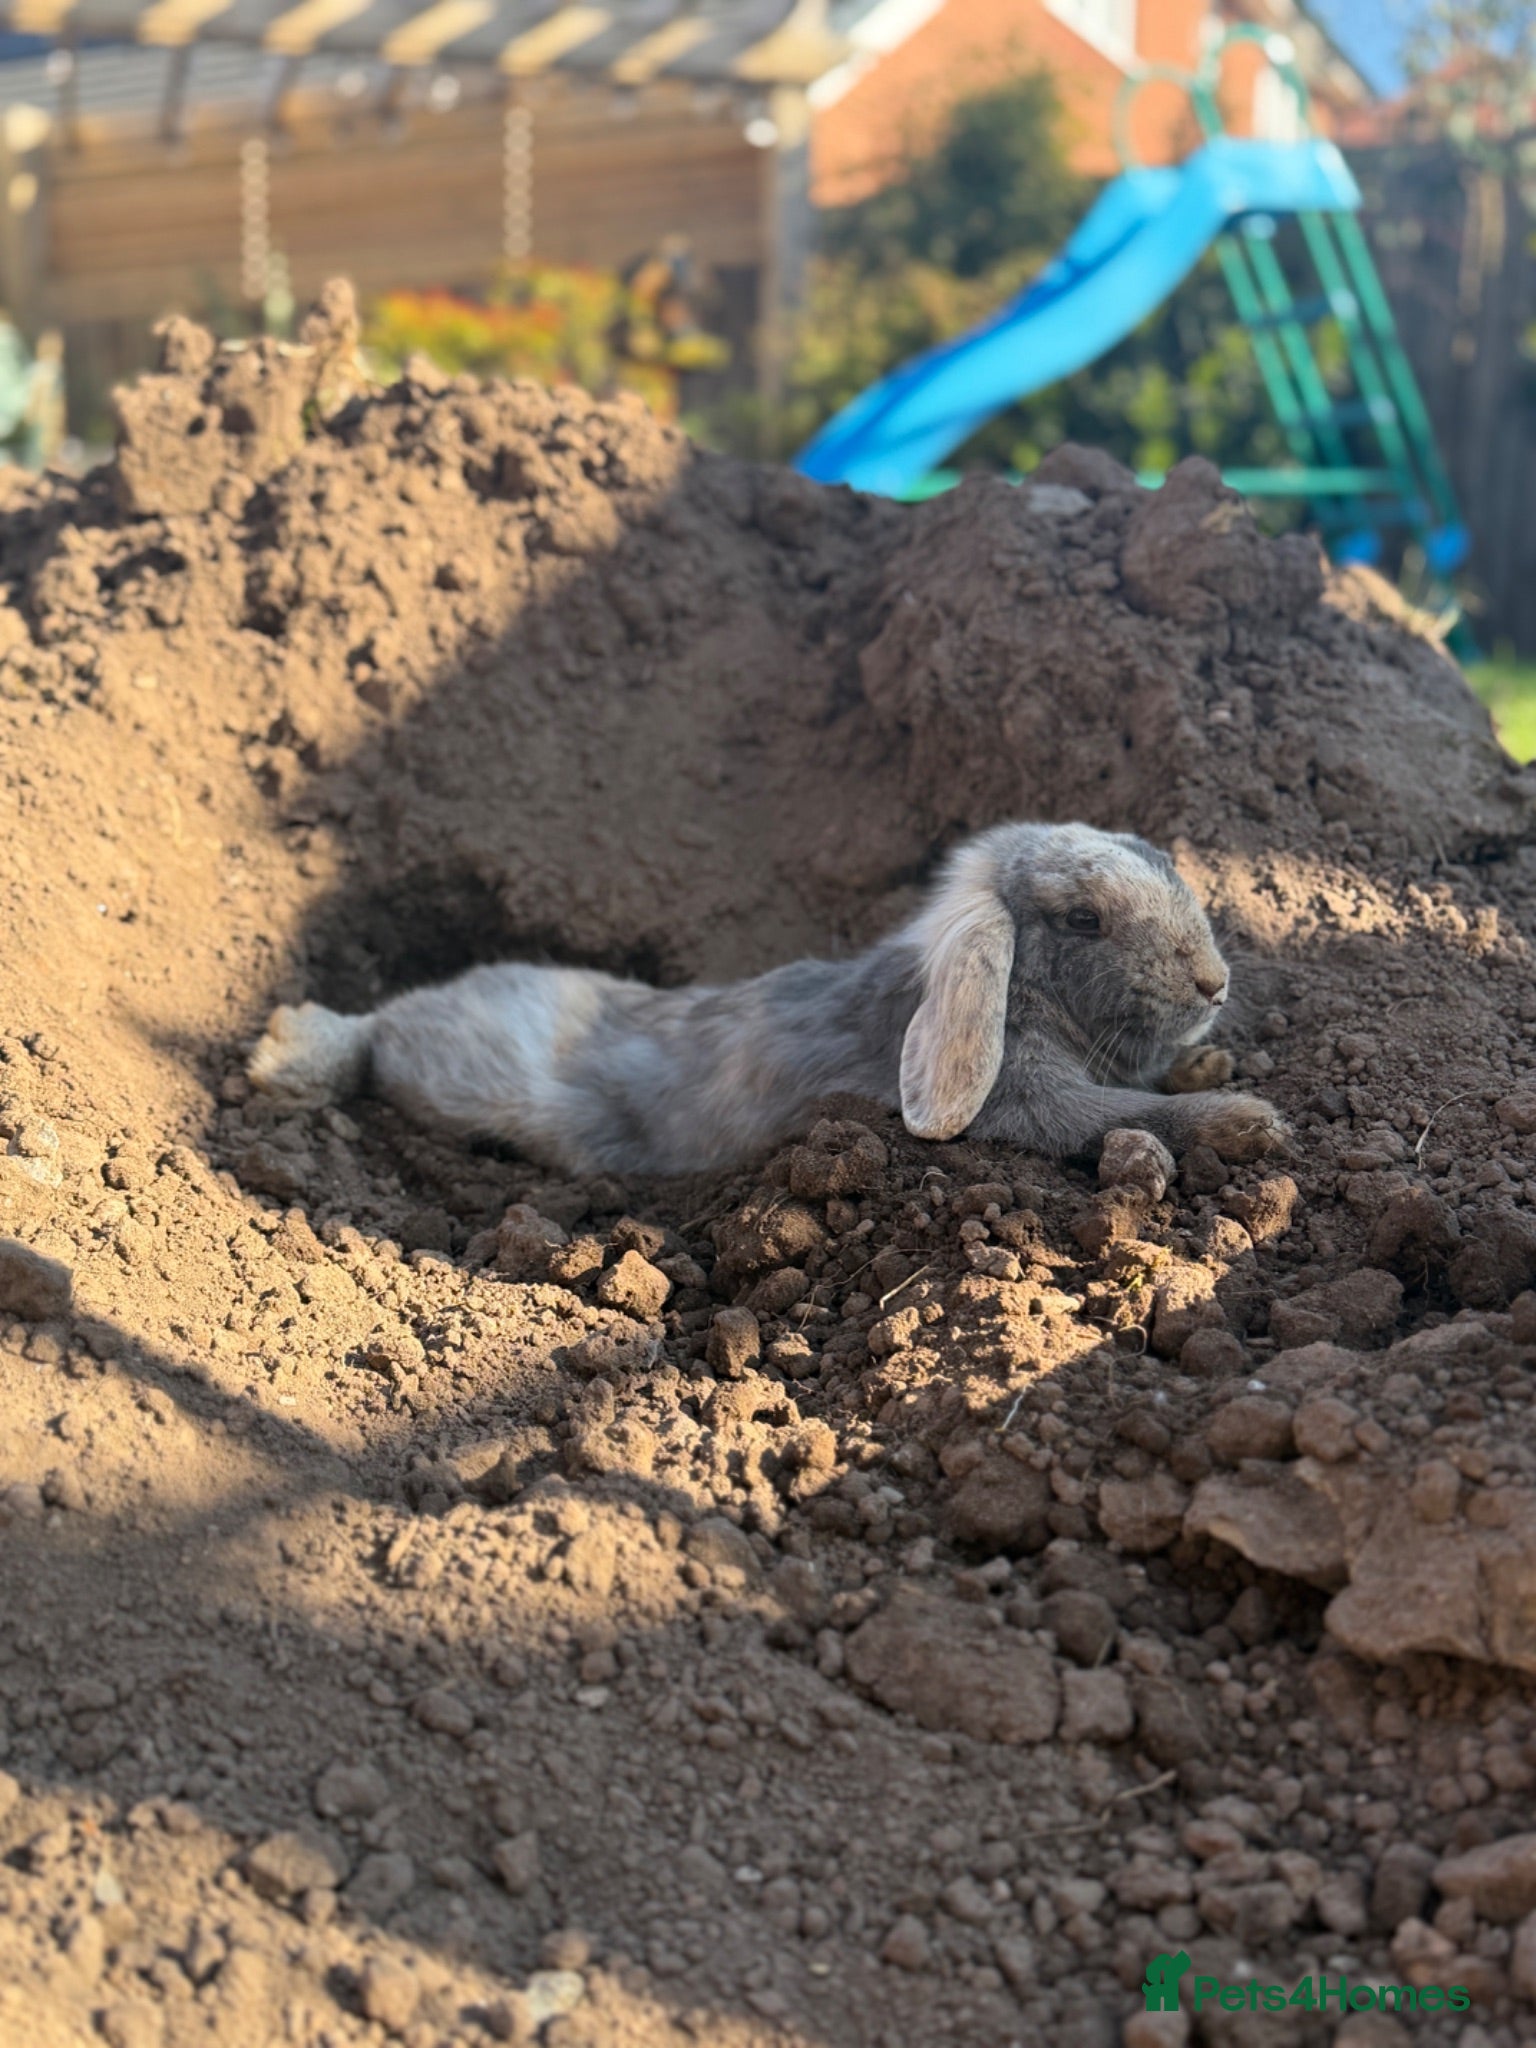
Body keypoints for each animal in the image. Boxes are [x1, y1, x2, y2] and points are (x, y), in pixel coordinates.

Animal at [248, 820, 1285, 1177]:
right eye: (1082, 920)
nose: (1214, 982)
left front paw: (1214, 1063)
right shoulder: (1028, 1101)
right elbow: (1116, 1112)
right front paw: (1248, 1122)